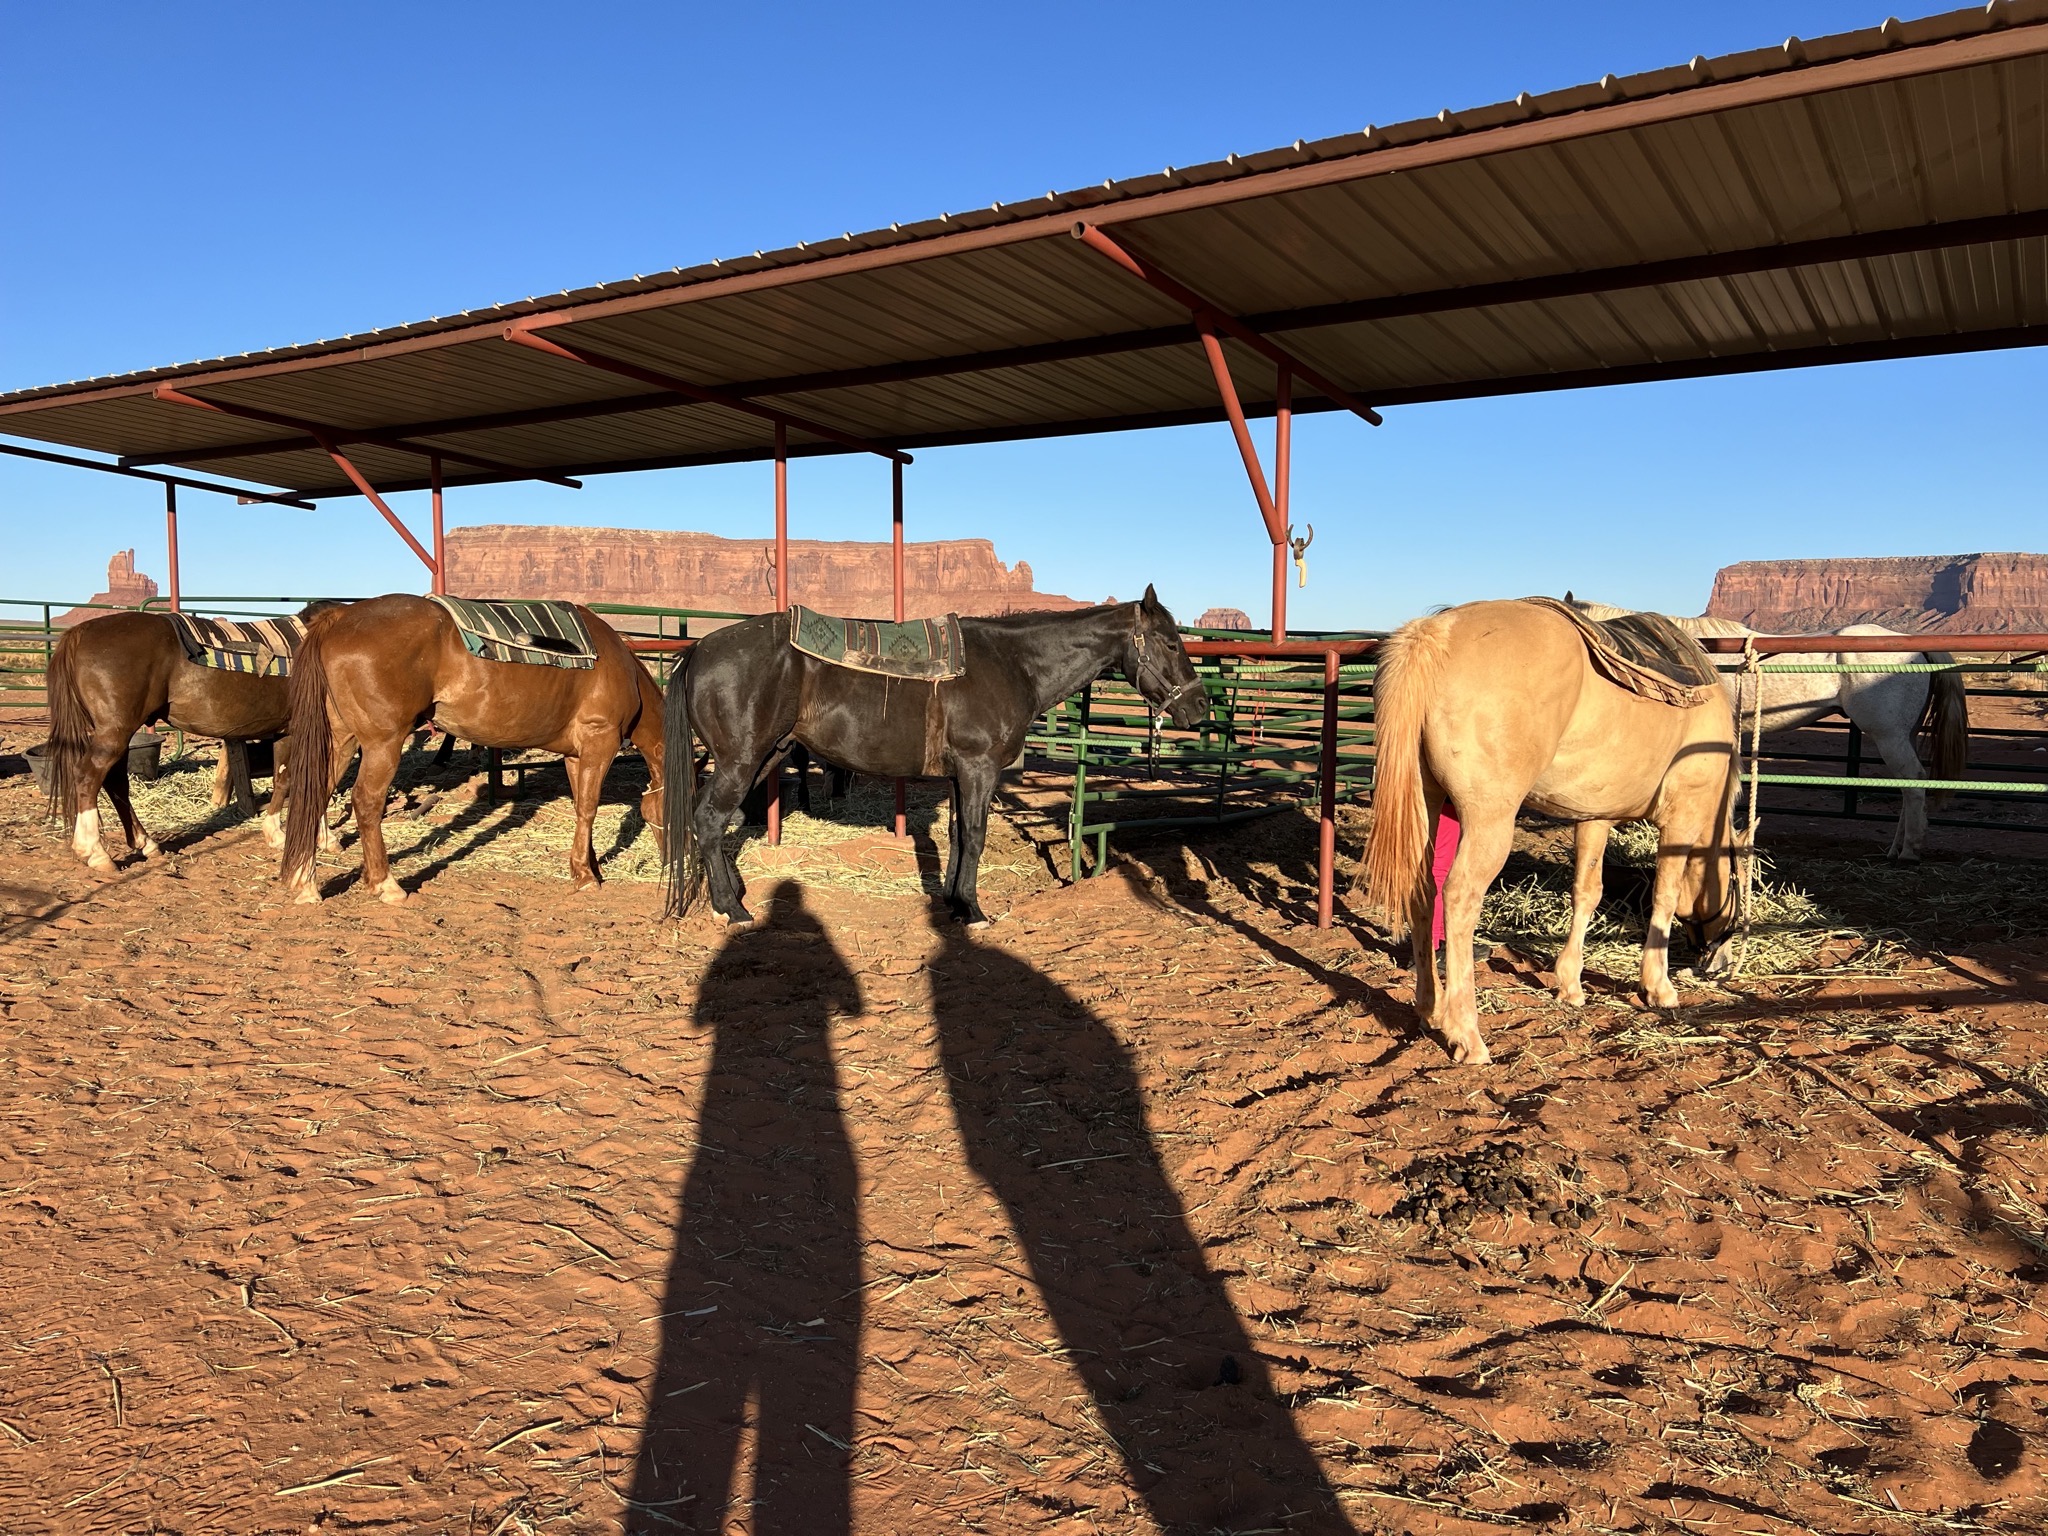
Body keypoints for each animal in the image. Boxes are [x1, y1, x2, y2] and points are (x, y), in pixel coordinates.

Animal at [42, 603, 340, 872]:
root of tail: (79, 632)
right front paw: (296, 835)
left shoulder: (286, 732)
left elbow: (288, 779)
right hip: (114, 732)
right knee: (89, 777)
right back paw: (94, 852)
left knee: (116, 782)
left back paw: (145, 843)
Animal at [280, 595, 666, 904]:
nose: (670, 861)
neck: (624, 672)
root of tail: (339, 617)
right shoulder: (600, 741)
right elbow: (588, 809)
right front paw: (586, 877)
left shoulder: (576, 755)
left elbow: (580, 806)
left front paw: (589, 867)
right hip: (382, 744)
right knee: (366, 802)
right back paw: (385, 884)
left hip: (340, 740)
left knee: (314, 793)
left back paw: (304, 883)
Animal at [663, 588, 1207, 927]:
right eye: (1170, 641)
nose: (1200, 706)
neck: (1014, 664)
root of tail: (700, 650)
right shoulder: (978, 769)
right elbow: (976, 835)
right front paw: (974, 910)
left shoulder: (960, 774)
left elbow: (958, 834)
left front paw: (954, 902)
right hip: (740, 760)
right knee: (709, 820)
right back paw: (731, 908)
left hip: (766, 757)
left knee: (719, 822)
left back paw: (732, 894)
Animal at [1360, 600, 1744, 1065]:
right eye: (1739, 886)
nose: (1720, 961)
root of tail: (1436, 633)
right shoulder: (1682, 816)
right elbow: (1665, 896)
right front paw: (1658, 986)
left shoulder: (1595, 818)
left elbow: (1587, 893)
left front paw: (1570, 983)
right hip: (1489, 822)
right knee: (1458, 898)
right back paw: (1467, 1034)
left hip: (1424, 807)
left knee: (1423, 892)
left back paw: (1430, 1008)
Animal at [1575, 603, 1966, 861]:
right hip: (1903, 735)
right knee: (1907, 788)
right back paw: (1895, 847)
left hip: (1888, 736)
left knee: (1913, 784)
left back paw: (1909, 851)